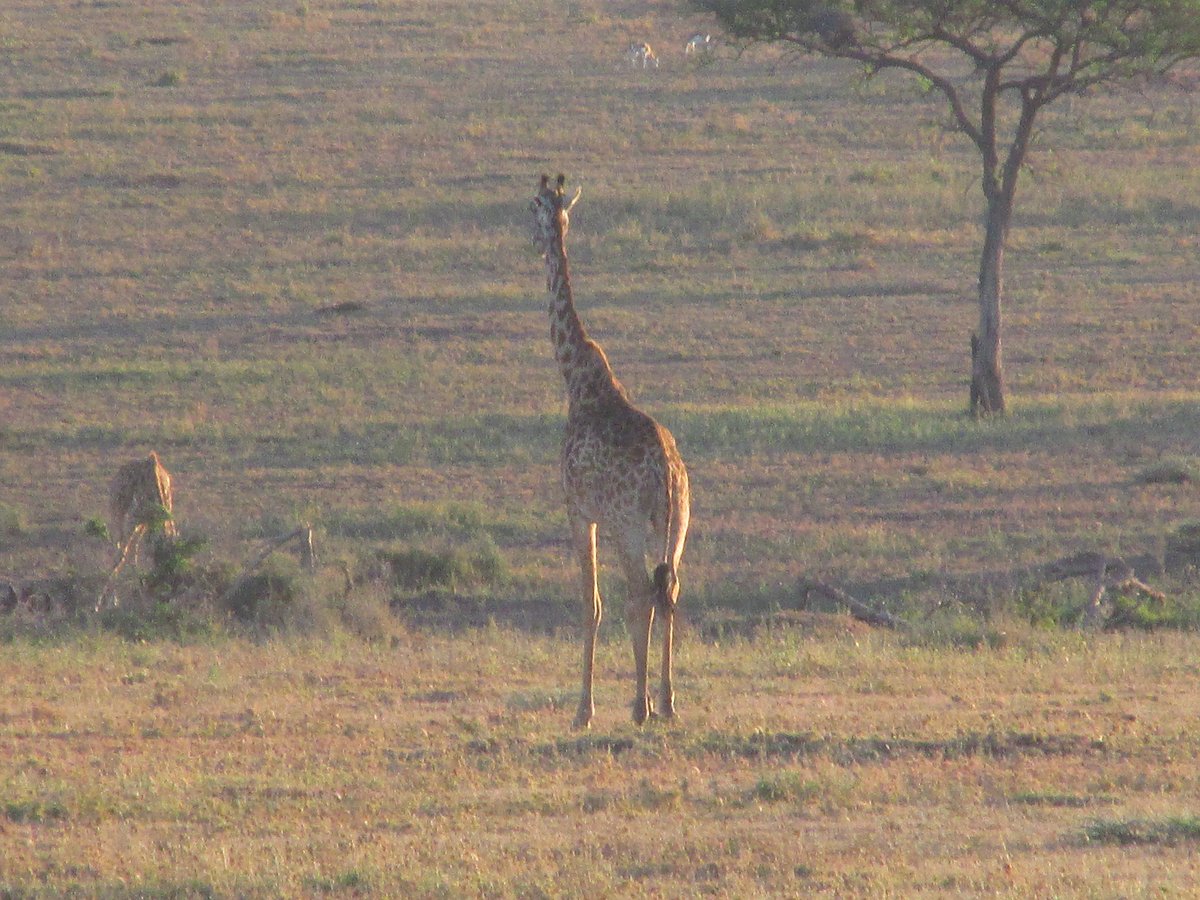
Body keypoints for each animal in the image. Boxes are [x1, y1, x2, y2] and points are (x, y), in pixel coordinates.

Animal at [528, 176, 691, 734]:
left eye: (530, 208)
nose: (533, 240)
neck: (577, 381)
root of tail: (667, 472)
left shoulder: (580, 512)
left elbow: (590, 603)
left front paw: (583, 711)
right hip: (677, 524)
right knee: (670, 590)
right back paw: (667, 703)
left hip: (630, 525)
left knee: (641, 594)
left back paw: (641, 706)